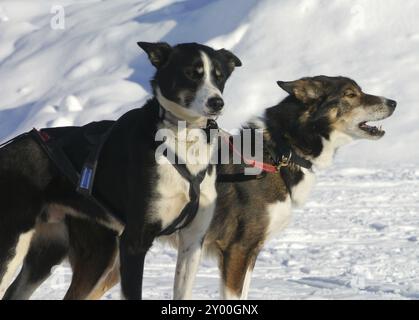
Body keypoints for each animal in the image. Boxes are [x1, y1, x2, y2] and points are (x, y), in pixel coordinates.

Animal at [0, 41, 243, 298]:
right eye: (191, 73)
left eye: (219, 76)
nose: (217, 102)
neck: (183, 140)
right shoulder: (134, 242)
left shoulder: (192, 241)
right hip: (13, 244)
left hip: (66, 253)